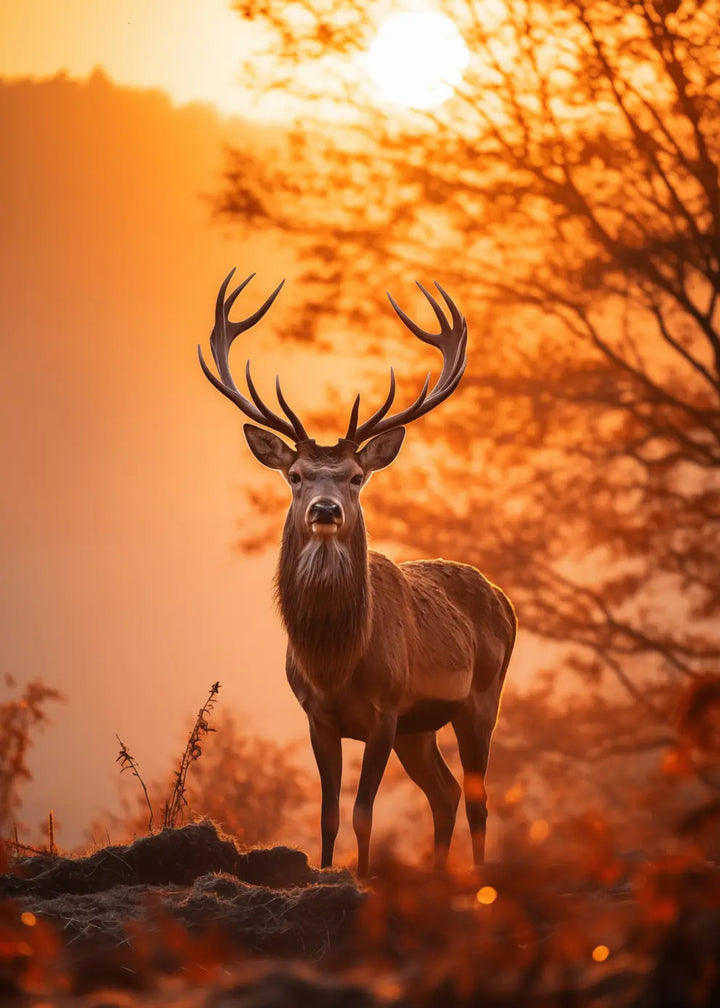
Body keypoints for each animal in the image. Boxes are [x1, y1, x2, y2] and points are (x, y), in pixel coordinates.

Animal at [199, 269, 517, 877]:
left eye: (354, 476)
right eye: (296, 475)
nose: (325, 510)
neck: (335, 660)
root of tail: (504, 599)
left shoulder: (386, 709)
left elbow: (363, 813)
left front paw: (364, 877)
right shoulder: (317, 716)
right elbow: (327, 815)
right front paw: (328, 872)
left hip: (481, 698)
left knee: (477, 798)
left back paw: (479, 878)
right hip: (421, 729)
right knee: (444, 793)